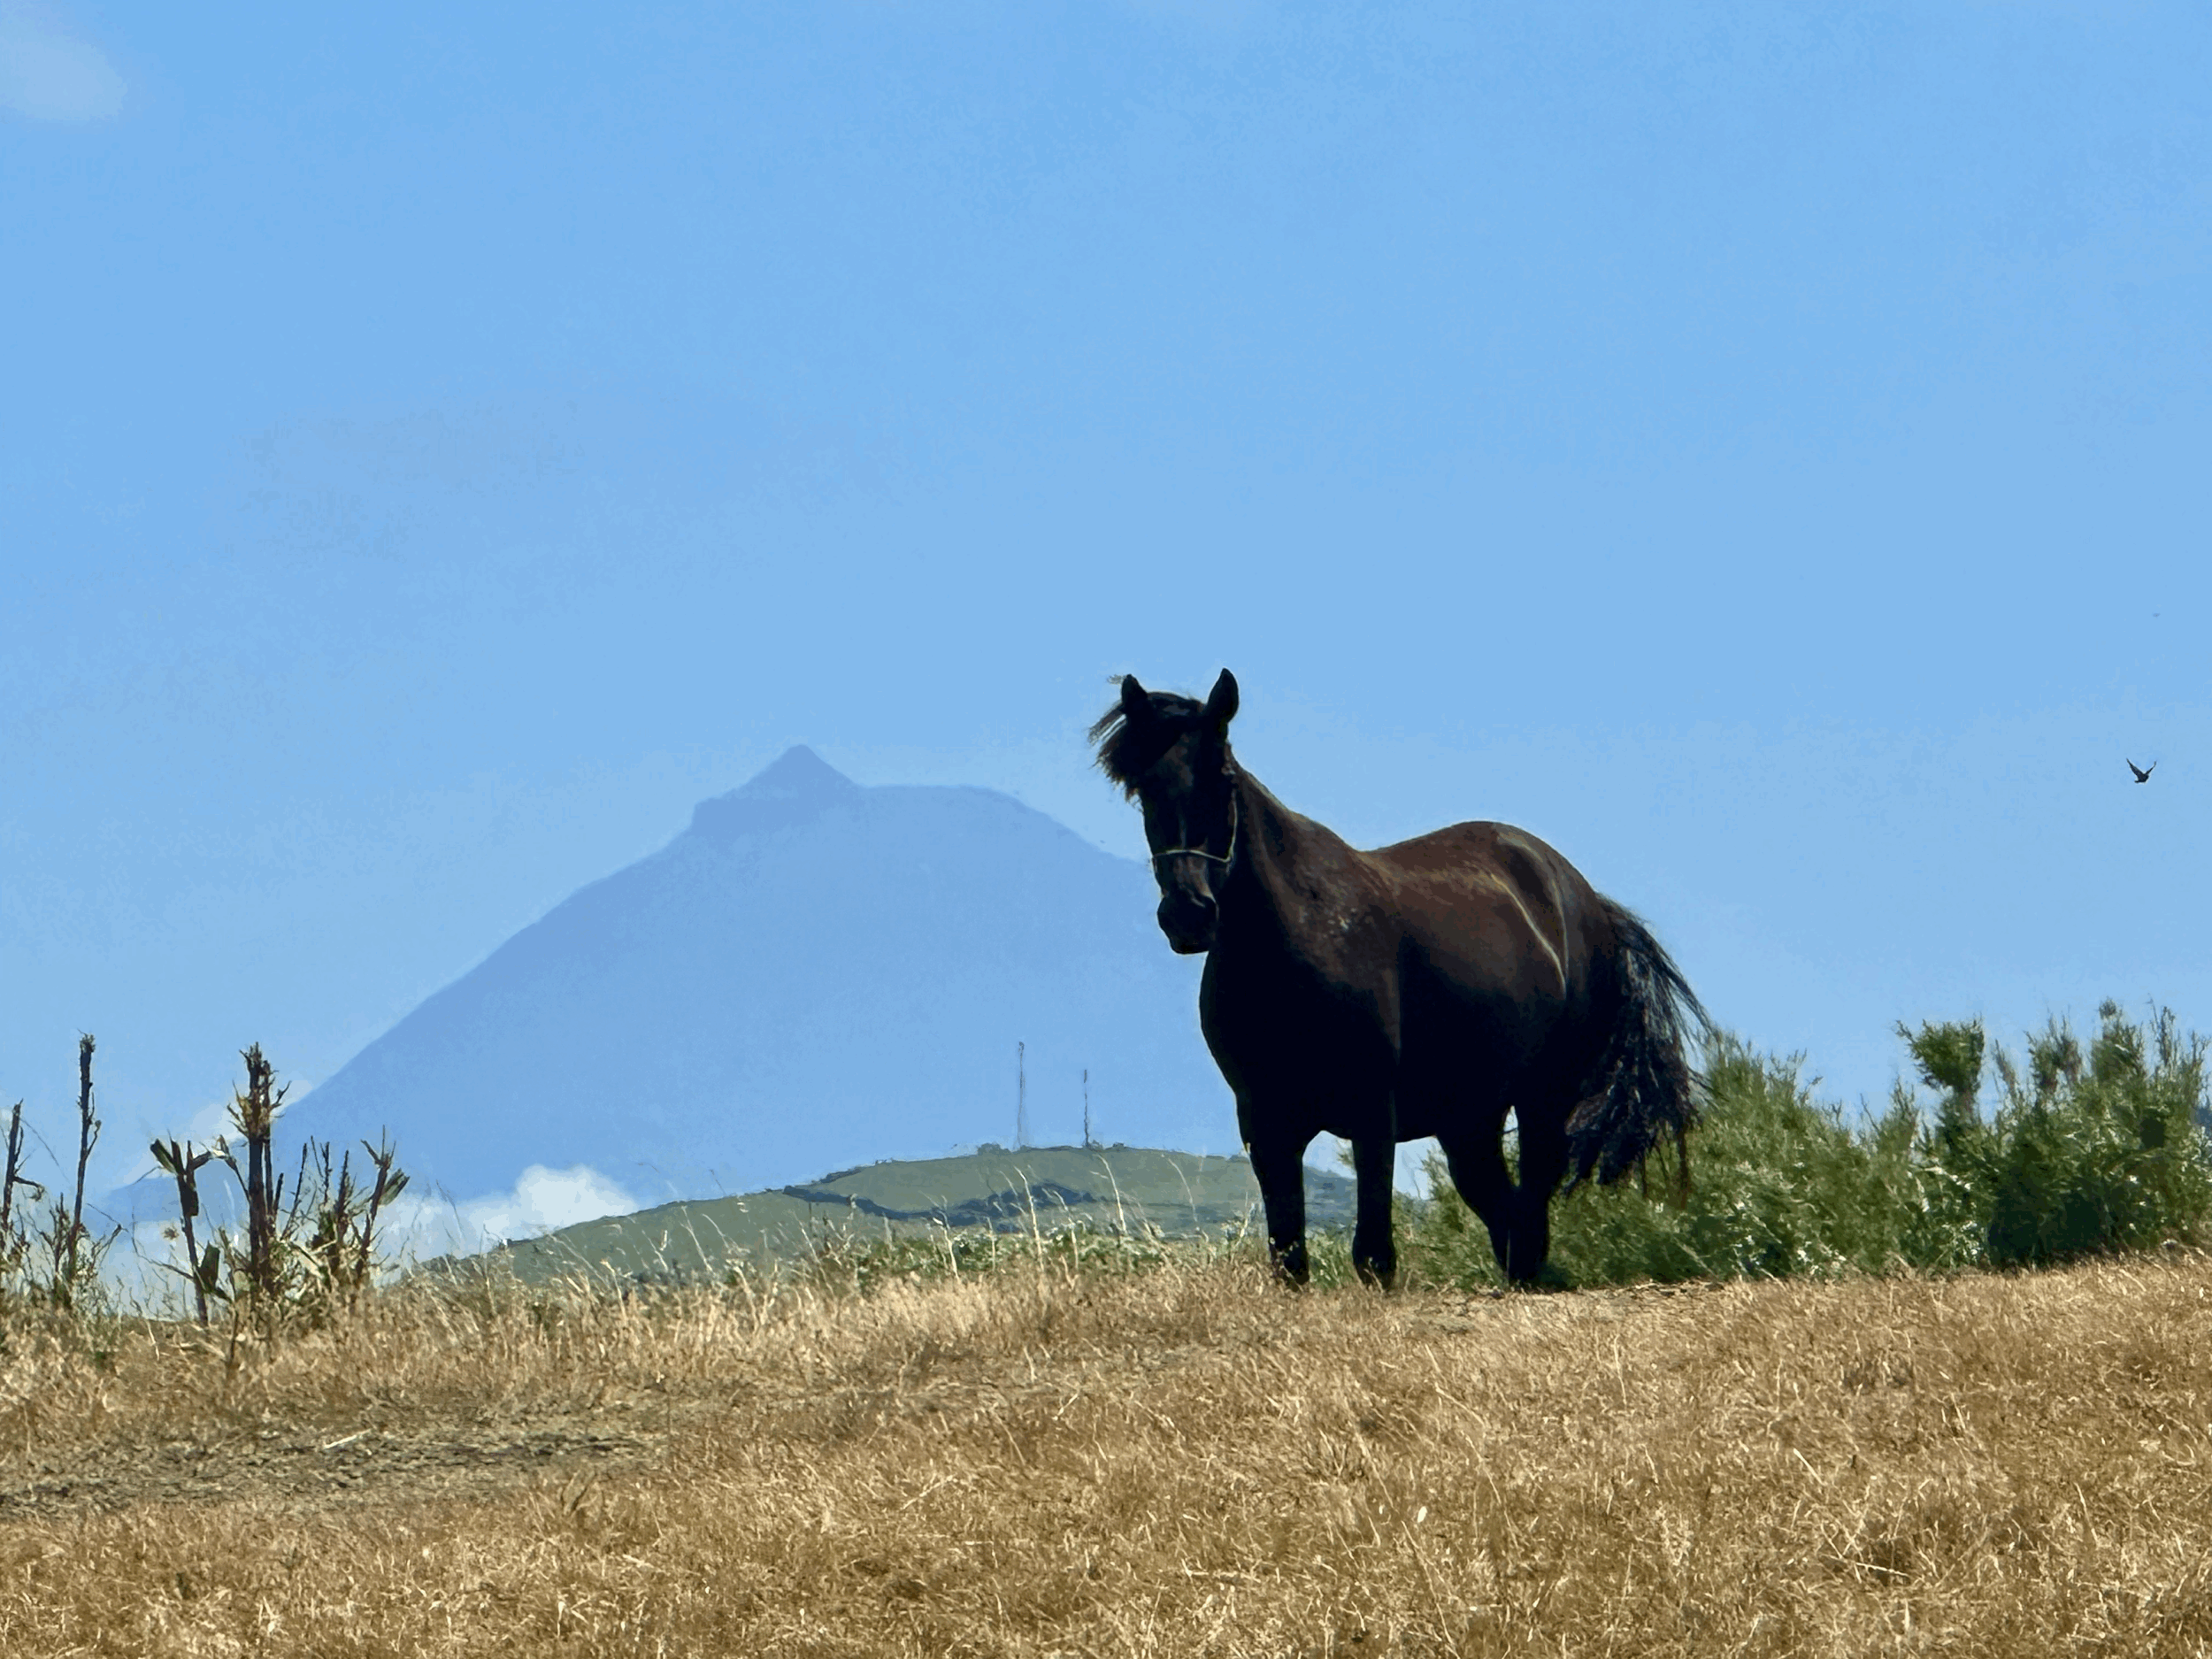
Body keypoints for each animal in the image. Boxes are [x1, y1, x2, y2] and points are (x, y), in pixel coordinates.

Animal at [1092, 670, 1706, 1289]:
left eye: (1223, 778)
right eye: (1144, 787)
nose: (1188, 914)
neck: (1298, 941)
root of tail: (1583, 897)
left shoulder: (1372, 1113)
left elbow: (1373, 1255)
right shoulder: (1264, 1124)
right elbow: (1289, 1257)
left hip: (1543, 1100)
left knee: (1530, 1208)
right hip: (1470, 1120)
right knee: (1507, 1216)